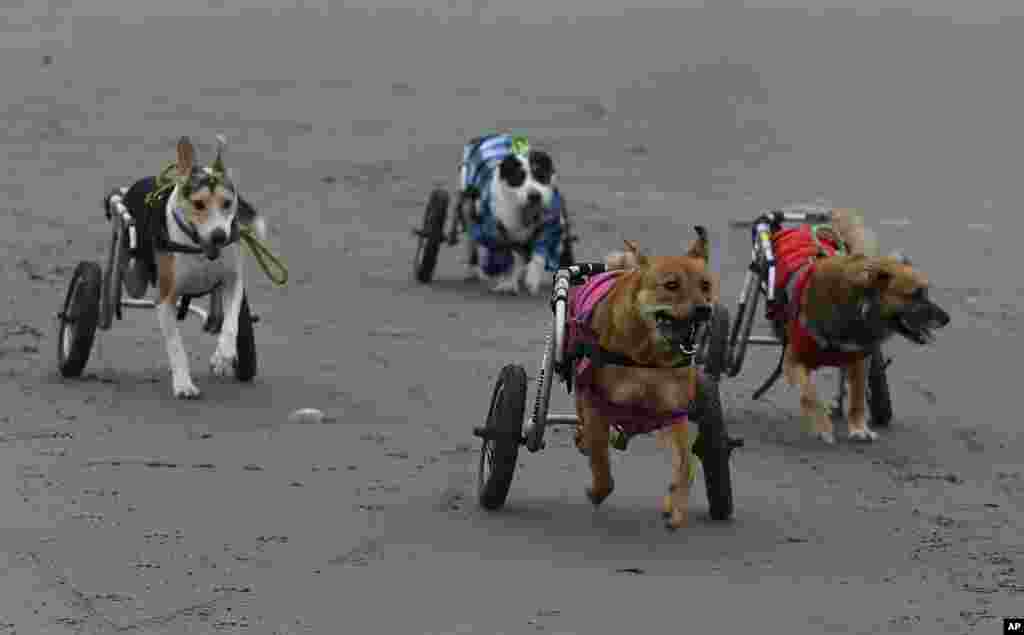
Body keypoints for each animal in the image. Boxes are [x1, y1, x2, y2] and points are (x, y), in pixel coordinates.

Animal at [114, 136, 266, 399]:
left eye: (228, 203)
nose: (219, 236)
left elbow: (232, 323)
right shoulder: (165, 299)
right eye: (198, 204)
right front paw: (184, 384)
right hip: (136, 277)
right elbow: (176, 346)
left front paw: (223, 356)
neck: (198, 247)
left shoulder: (233, 282)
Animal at [458, 133, 565, 294]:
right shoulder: (495, 232)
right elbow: (508, 258)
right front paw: (507, 284)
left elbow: (539, 254)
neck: (524, 211)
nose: (534, 196)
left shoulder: (549, 226)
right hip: (467, 206)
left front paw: (531, 279)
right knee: (472, 242)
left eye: (540, 175)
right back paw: (474, 271)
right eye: (518, 177)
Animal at [565, 225, 716, 528]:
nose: (704, 310)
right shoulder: (595, 402)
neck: (648, 357)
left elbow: (686, 465)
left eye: (705, 285)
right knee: (586, 427)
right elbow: (601, 462)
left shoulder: (674, 413)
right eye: (671, 285)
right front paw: (597, 490)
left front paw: (675, 506)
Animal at [774, 206, 950, 442]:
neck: (858, 305)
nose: (947, 319)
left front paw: (858, 427)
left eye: (926, 292)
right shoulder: (792, 361)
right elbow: (810, 395)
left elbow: (857, 397)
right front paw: (822, 426)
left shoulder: (859, 358)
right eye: (915, 294)